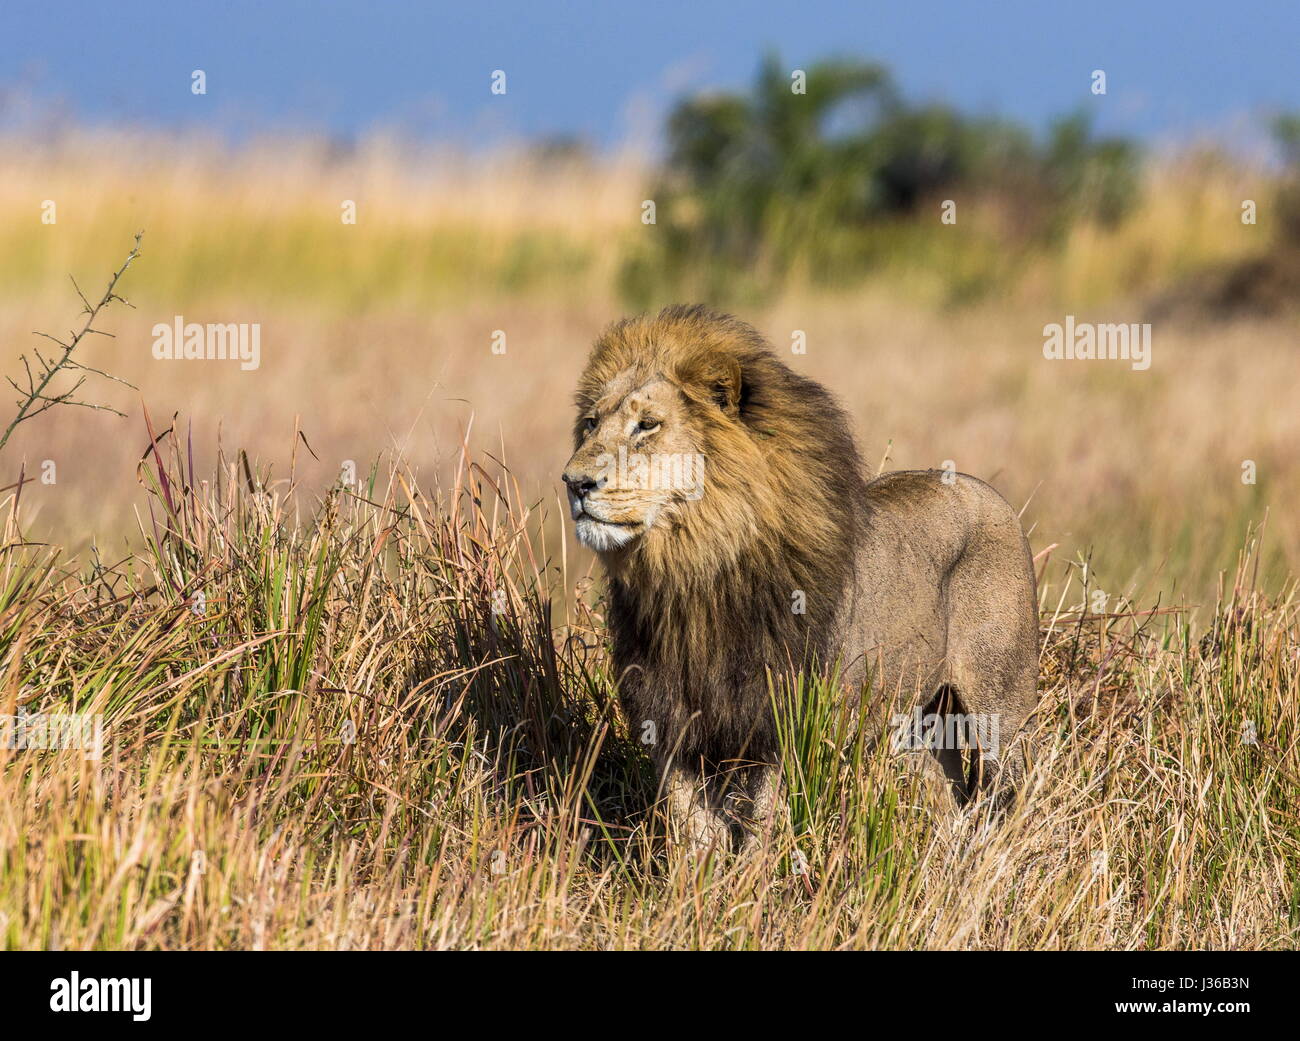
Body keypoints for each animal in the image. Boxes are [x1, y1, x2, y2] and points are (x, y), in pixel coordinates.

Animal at [564, 304, 1040, 847]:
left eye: (647, 425)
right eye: (590, 424)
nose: (573, 482)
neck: (694, 575)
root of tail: (986, 491)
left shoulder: (784, 722)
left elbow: (761, 827)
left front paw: (756, 871)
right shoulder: (668, 722)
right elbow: (692, 831)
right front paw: (699, 872)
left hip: (1000, 709)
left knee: (1009, 793)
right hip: (917, 721)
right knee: (947, 796)